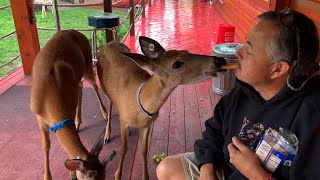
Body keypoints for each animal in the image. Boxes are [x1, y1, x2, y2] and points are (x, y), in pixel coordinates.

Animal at [30, 28, 114, 179]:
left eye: (104, 175)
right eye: (91, 178)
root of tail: (76, 31)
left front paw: (72, 173)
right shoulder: (38, 115)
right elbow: (46, 145)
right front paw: (47, 176)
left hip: (88, 65)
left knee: (93, 86)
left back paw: (103, 113)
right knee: (80, 86)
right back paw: (78, 120)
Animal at [96, 37, 231, 180]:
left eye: (186, 51)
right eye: (176, 64)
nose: (219, 60)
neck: (140, 103)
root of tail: (109, 44)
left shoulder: (147, 125)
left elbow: (144, 150)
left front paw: (145, 177)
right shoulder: (124, 120)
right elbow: (123, 149)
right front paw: (117, 175)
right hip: (105, 87)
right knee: (110, 104)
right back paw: (107, 135)